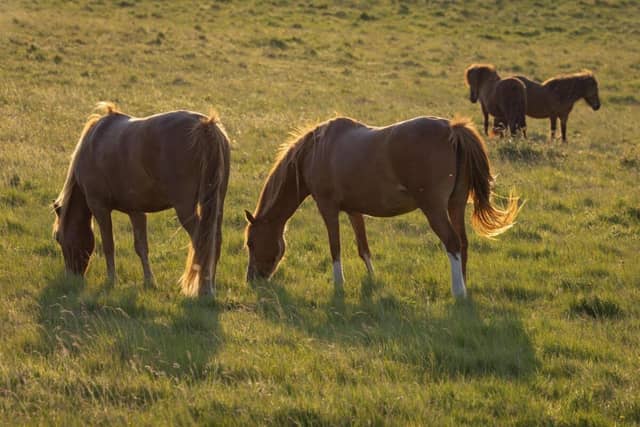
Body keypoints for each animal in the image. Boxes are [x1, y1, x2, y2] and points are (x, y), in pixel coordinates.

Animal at [53, 103, 230, 297]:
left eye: (58, 238)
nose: (71, 278)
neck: (93, 144)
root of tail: (206, 125)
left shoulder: (99, 207)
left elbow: (108, 245)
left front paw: (112, 280)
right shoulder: (136, 211)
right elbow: (141, 247)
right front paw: (149, 281)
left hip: (185, 209)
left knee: (202, 241)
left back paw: (205, 288)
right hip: (216, 205)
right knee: (215, 240)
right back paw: (210, 286)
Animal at [244, 116, 520, 298]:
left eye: (251, 243)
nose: (252, 280)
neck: (315, 152)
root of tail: (451, 129)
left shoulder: (328, 207)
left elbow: (335, 248)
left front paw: (339, 284)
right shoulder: (354, 210)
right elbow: (363, 248)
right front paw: (373, 280)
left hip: (434, 208)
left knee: (452, 243)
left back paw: (458, 292)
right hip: (455, 205)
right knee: (462, 243)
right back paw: (463, 285)